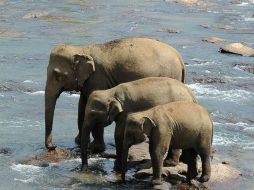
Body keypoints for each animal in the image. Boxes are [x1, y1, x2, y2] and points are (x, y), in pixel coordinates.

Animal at [45, 36, 185, 150]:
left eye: (58, 75)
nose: (53, 146)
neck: (82, 49)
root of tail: (179, 57)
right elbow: (82, 105)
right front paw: (78, 142)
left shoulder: (98, 78)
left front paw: (95, 147)